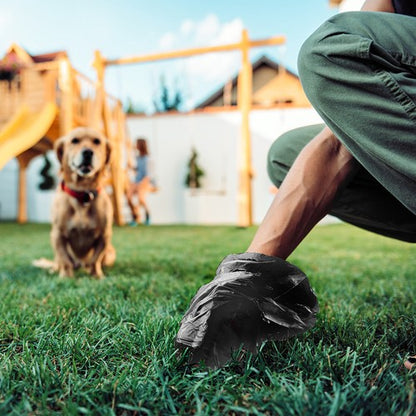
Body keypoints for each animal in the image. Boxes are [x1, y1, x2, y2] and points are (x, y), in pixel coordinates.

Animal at [49, 125, 116, 278]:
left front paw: (96, 275)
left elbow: (95, 259)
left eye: (97, 141)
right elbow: (65, 259)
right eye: (74, 141)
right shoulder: (57, 235)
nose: (87, 152)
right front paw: (66, 277)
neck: (82, 193)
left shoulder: (104, 236)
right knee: (59, 261)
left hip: (111, 253)